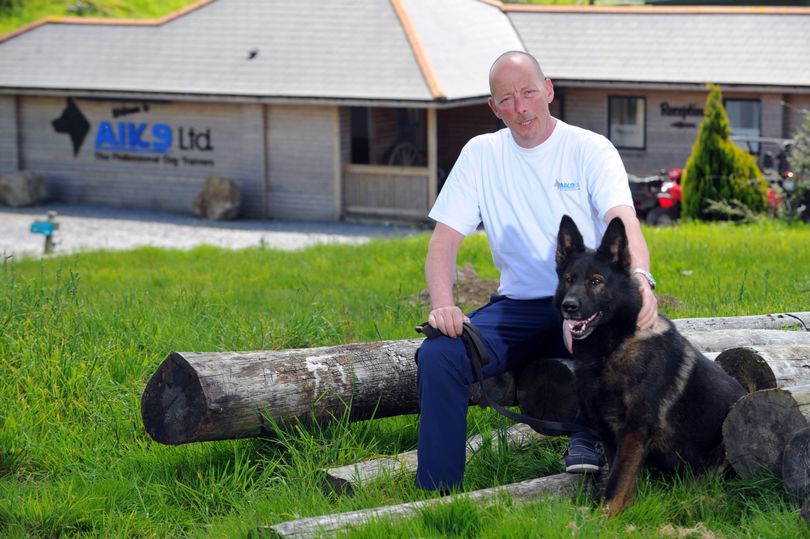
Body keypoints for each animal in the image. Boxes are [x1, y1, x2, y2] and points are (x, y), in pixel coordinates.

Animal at [552, 216, 740, 520]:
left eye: (596, 281)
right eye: (568, 279)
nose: (569, 306)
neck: (612, 346)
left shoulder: (635, 430)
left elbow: (617, 481)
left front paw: (603, 518)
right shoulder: (610, 433)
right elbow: (620, 478)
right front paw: (620, 510)